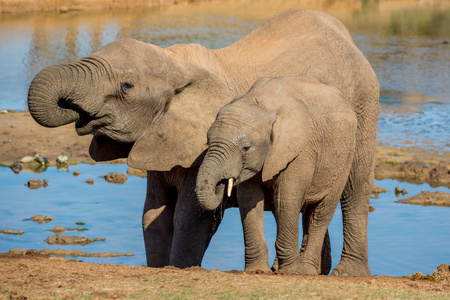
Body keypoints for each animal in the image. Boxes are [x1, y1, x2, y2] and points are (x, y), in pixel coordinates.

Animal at [195, 75, 356, 274]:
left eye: (246, 147)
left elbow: (287, 197)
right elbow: (248, 199)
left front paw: (292, 272)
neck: (260, 102)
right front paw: (257, 271)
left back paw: (306, 270)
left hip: (344, 160)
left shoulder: (301, 150)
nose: (221, 184)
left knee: (320, 213)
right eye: (207, 142)